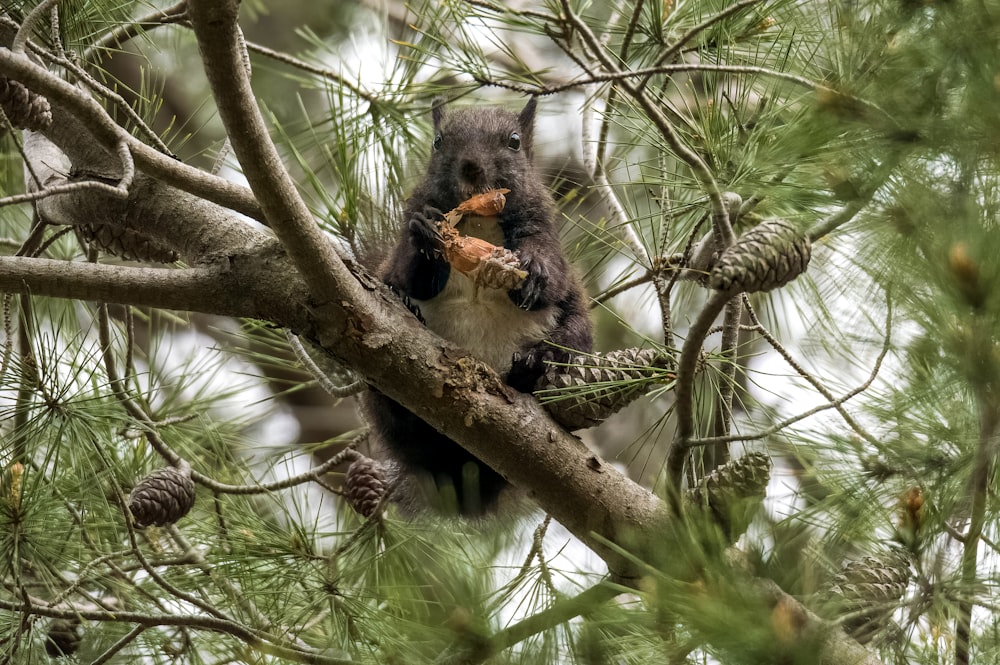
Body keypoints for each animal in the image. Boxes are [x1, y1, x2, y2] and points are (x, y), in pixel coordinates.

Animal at [362, 98, 588, 516]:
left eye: (514, 141)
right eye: (438, 141)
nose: (471, 166)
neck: (478, 220)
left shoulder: (544, 229)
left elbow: (552, 276)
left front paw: (536, 272)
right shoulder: (406, 240)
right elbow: (408, 272)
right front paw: (425, 236)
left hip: (576, 328)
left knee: (570, 337)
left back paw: (536, 363)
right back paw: (406, 310)